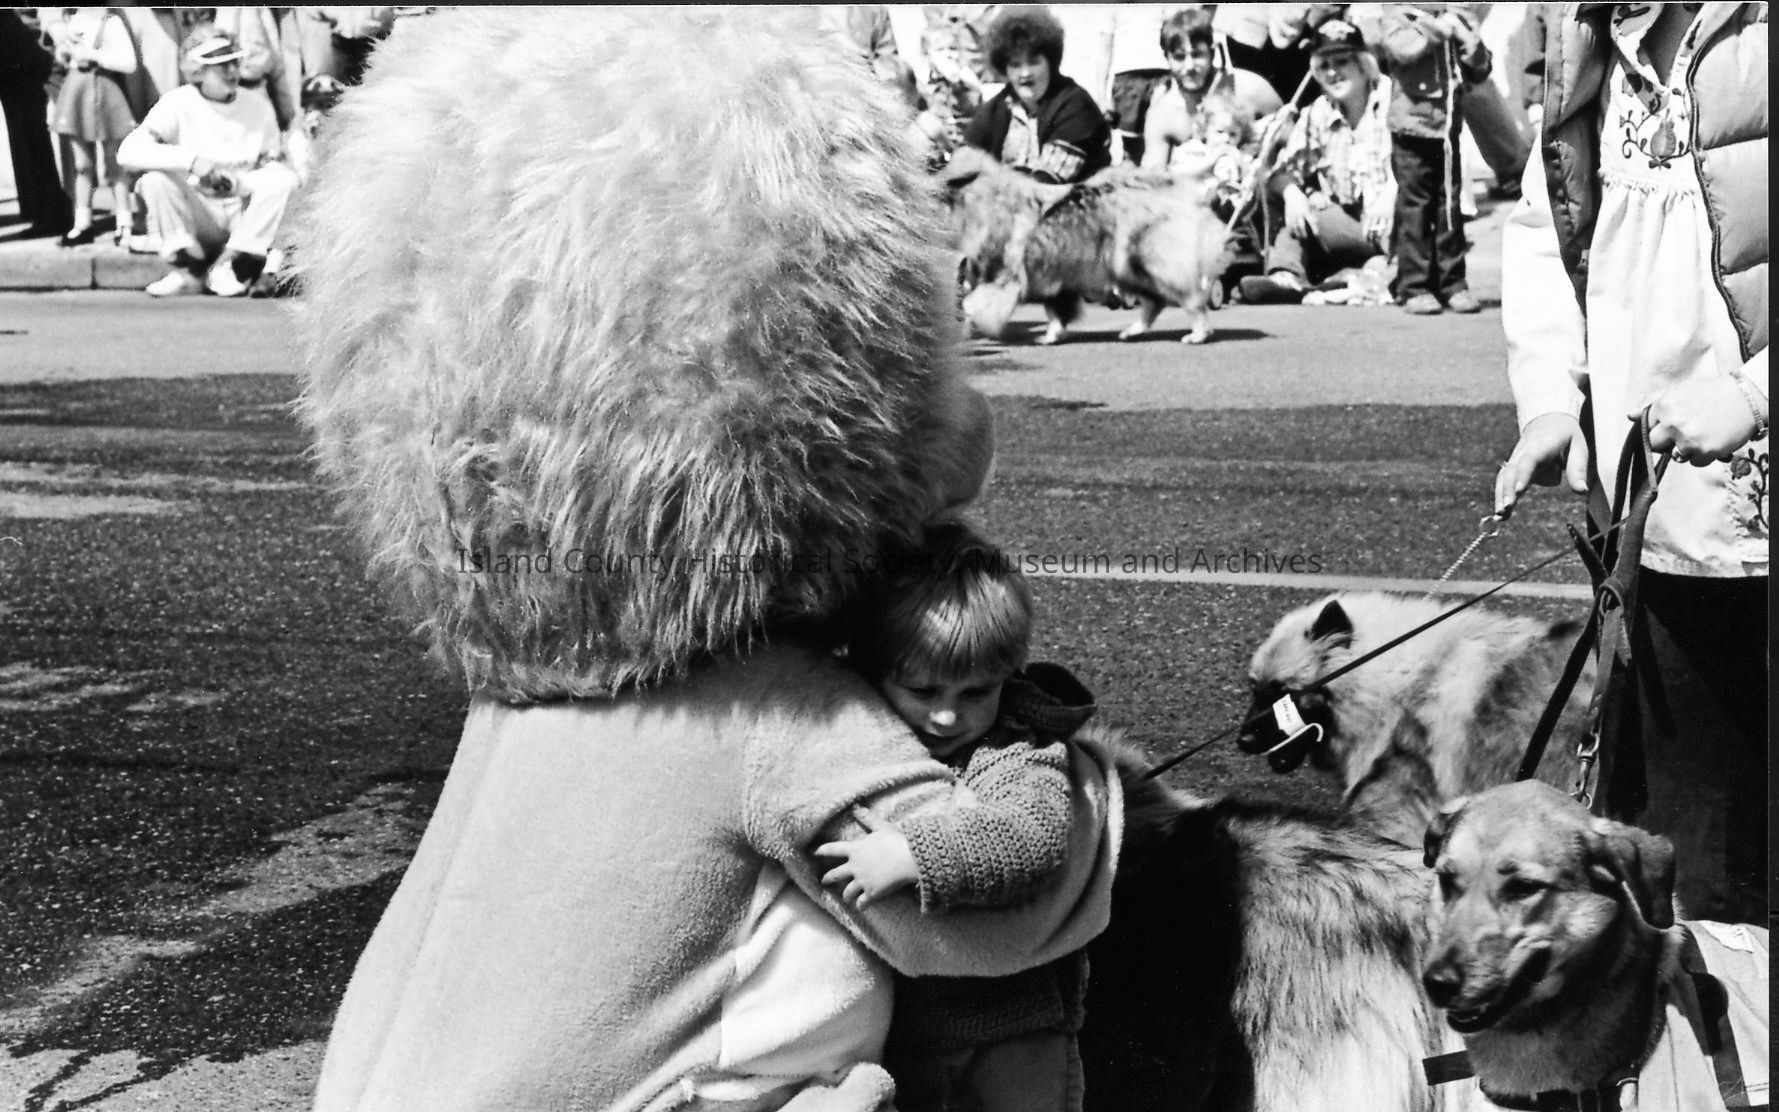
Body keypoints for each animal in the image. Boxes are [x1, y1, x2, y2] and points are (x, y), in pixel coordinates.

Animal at [942, 148, 1233, 346]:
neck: (982, 202)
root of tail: (1178, 187)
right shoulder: (1055, 278)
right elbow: (1056, 313)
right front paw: (1050, 337)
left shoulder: (1006, 277)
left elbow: (971, 303)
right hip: (1127, 269)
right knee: (1155, 303)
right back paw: (1131, 331)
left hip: (1148, 264)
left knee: (1191, 300)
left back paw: (1197, 334)